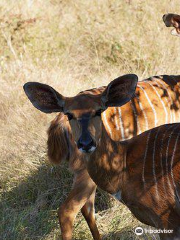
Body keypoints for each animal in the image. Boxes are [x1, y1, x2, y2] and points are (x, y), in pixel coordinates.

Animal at [23, 74, 180, 239]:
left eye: (99, 111)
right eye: (70, 114)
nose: (85, 143)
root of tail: (57, 125)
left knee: (86, 207)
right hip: (83, 171)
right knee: (68, 210)